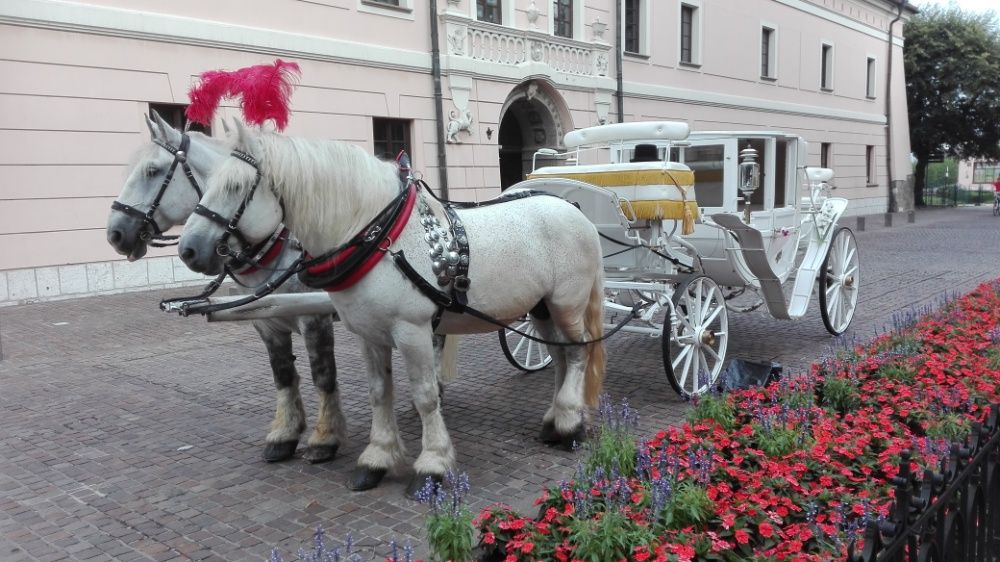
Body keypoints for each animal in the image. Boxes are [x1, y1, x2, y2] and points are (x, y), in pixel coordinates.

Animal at [109, 110, 348, 464]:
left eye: (152, 170)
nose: (114, 233)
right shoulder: (265, 321)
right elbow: (283, 375)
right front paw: (284, 433)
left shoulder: (314, 319)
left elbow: (323, 374)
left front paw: (325, 438)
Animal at [176, 59, 604, 492]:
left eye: (235, 186)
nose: (188, 249)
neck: (378, 238)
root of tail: (571, 208)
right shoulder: (369, 333)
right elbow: (379, 392)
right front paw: (377, 458)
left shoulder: (412, 331)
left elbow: (425, 395)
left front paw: (433, 463)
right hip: (541, 306)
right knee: (559, 355)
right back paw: (555, 420)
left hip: (567, 303)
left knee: (578, 352)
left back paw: (569, 425)